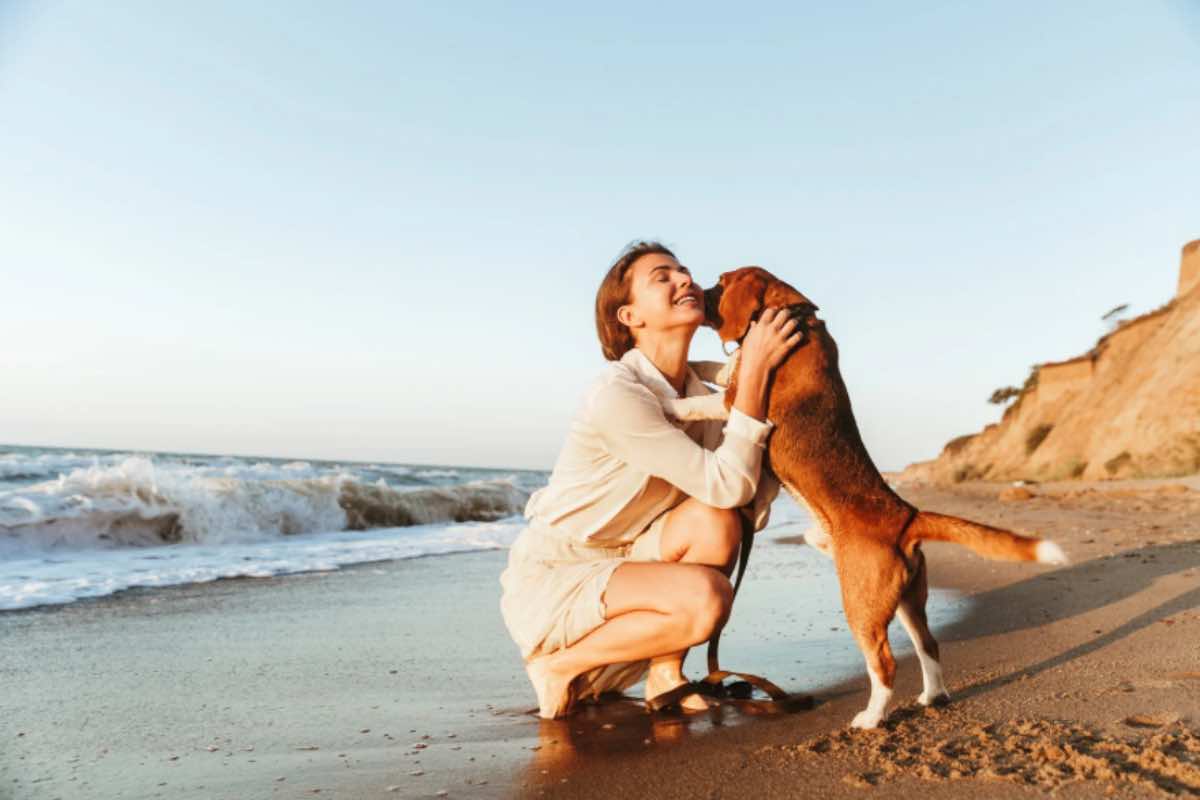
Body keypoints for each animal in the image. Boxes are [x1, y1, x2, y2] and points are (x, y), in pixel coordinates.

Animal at [662, 268, 1065, 734]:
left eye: (721, 282)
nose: (695, 293)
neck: (796, 314)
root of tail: (906, 516)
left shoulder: (735, 400)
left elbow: (706, 396)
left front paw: (674, 404)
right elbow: (718, 368)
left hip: (861, 605)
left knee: (885, 664)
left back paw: (872, 717)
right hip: (910, 601)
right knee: (929, 645)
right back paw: (932, 695)